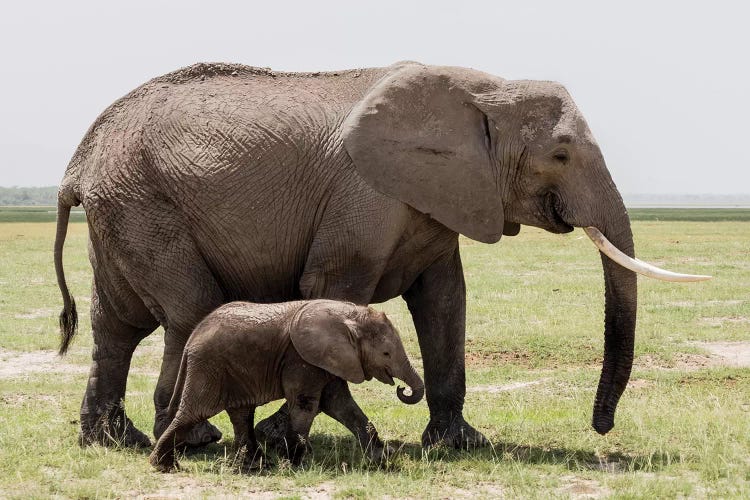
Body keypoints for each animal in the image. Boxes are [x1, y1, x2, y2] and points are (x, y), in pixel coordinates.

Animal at [55, 60, 708, 448]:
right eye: (562, 154)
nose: (602, 427)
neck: (480, 91)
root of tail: (80, 164)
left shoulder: (441, 198)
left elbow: (444, 302)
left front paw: (458, 446)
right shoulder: (363, 195)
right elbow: (332, 288)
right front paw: (280, 436)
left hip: (123, 209)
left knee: (115, 327)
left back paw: (113, 442)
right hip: (143, 204)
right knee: (186, 309)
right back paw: (191, 441)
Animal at [150, 298, 426, 470]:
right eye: (386, 354)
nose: (402, 389)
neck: (348, 315)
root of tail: (193, 336)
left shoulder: (327, 361)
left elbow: (341, 405)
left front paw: (383, 458)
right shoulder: (301, 358)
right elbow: (307, 405)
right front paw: (294, 464)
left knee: (241, 413)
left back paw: (255, 466)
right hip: (209, 367)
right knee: (193, 413)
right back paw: (164, 466)